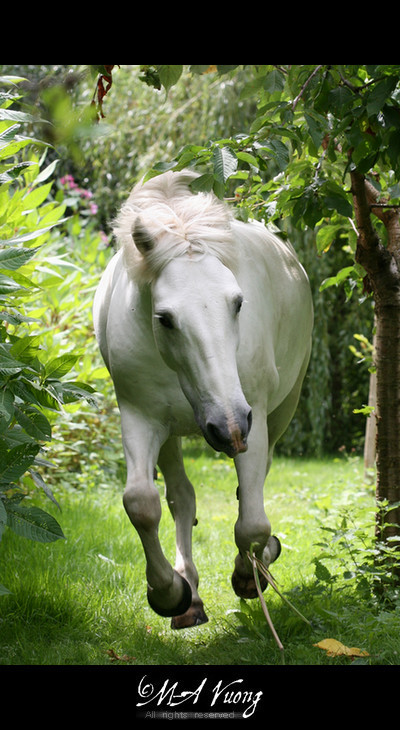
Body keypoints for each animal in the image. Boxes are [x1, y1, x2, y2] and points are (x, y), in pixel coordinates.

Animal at [94, 169, 312, 624]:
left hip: (281, 411)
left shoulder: (254, 417)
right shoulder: (140, 416)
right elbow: (141, 503)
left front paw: (249, 575)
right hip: (174, 433)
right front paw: (169, 592)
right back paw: (189, 593)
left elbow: (252, 522)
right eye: (165, 318)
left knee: (254, 486)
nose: (228, 427)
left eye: (238, 303)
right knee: (181, 497)